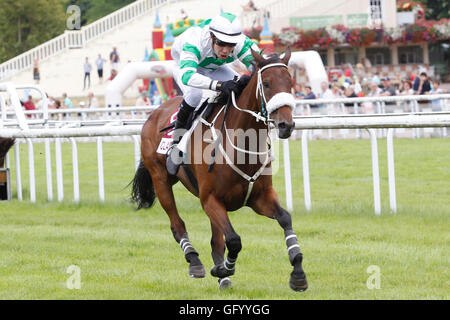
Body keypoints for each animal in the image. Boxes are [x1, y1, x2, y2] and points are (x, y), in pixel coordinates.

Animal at [128, 48, 308, 292]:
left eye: (290, 83)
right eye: (267, 83)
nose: (285, 125)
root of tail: (154, 114)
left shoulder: (259, 198)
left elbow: (285, 219)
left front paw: (298, 273)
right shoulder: (211, 199)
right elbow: (234, 240)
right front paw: (224, 268)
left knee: (215, 240)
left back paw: (222, 278)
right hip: (161, 180)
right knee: (177, 225)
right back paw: (195, 262)